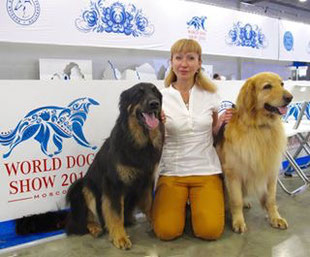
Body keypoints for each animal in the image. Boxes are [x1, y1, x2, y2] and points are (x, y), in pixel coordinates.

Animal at [65, 83, 165, 249]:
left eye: (155, 92)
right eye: (138, 93)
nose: (154, 104)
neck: (140, 142)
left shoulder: (147, 181)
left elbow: (150, 205)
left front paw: (155, 223)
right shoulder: (114, 185)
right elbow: (116, 214)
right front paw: (120, 237)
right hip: (83, 187)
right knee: (85, 218)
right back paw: (95, 228)